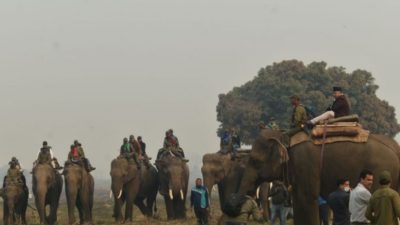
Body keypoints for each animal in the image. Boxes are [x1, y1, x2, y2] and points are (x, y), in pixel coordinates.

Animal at [234, 129, 400, 225]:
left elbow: (307, 200)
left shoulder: (305, 166)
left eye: (254, 161)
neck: (286, 138)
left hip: (379, 171)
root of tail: (395, 150)